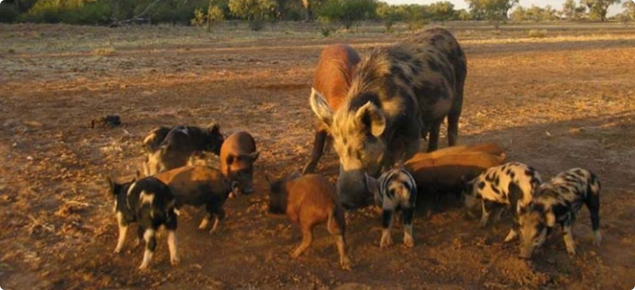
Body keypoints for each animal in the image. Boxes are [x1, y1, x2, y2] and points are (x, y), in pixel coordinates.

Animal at [312, 27, 468, 208]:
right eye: (338, 151)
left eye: (362, 148)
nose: (345, 202)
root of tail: (447, 33)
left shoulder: (412, 129)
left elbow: (405, 161)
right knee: (435, 129)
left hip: (459, 91)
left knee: (452, 126)